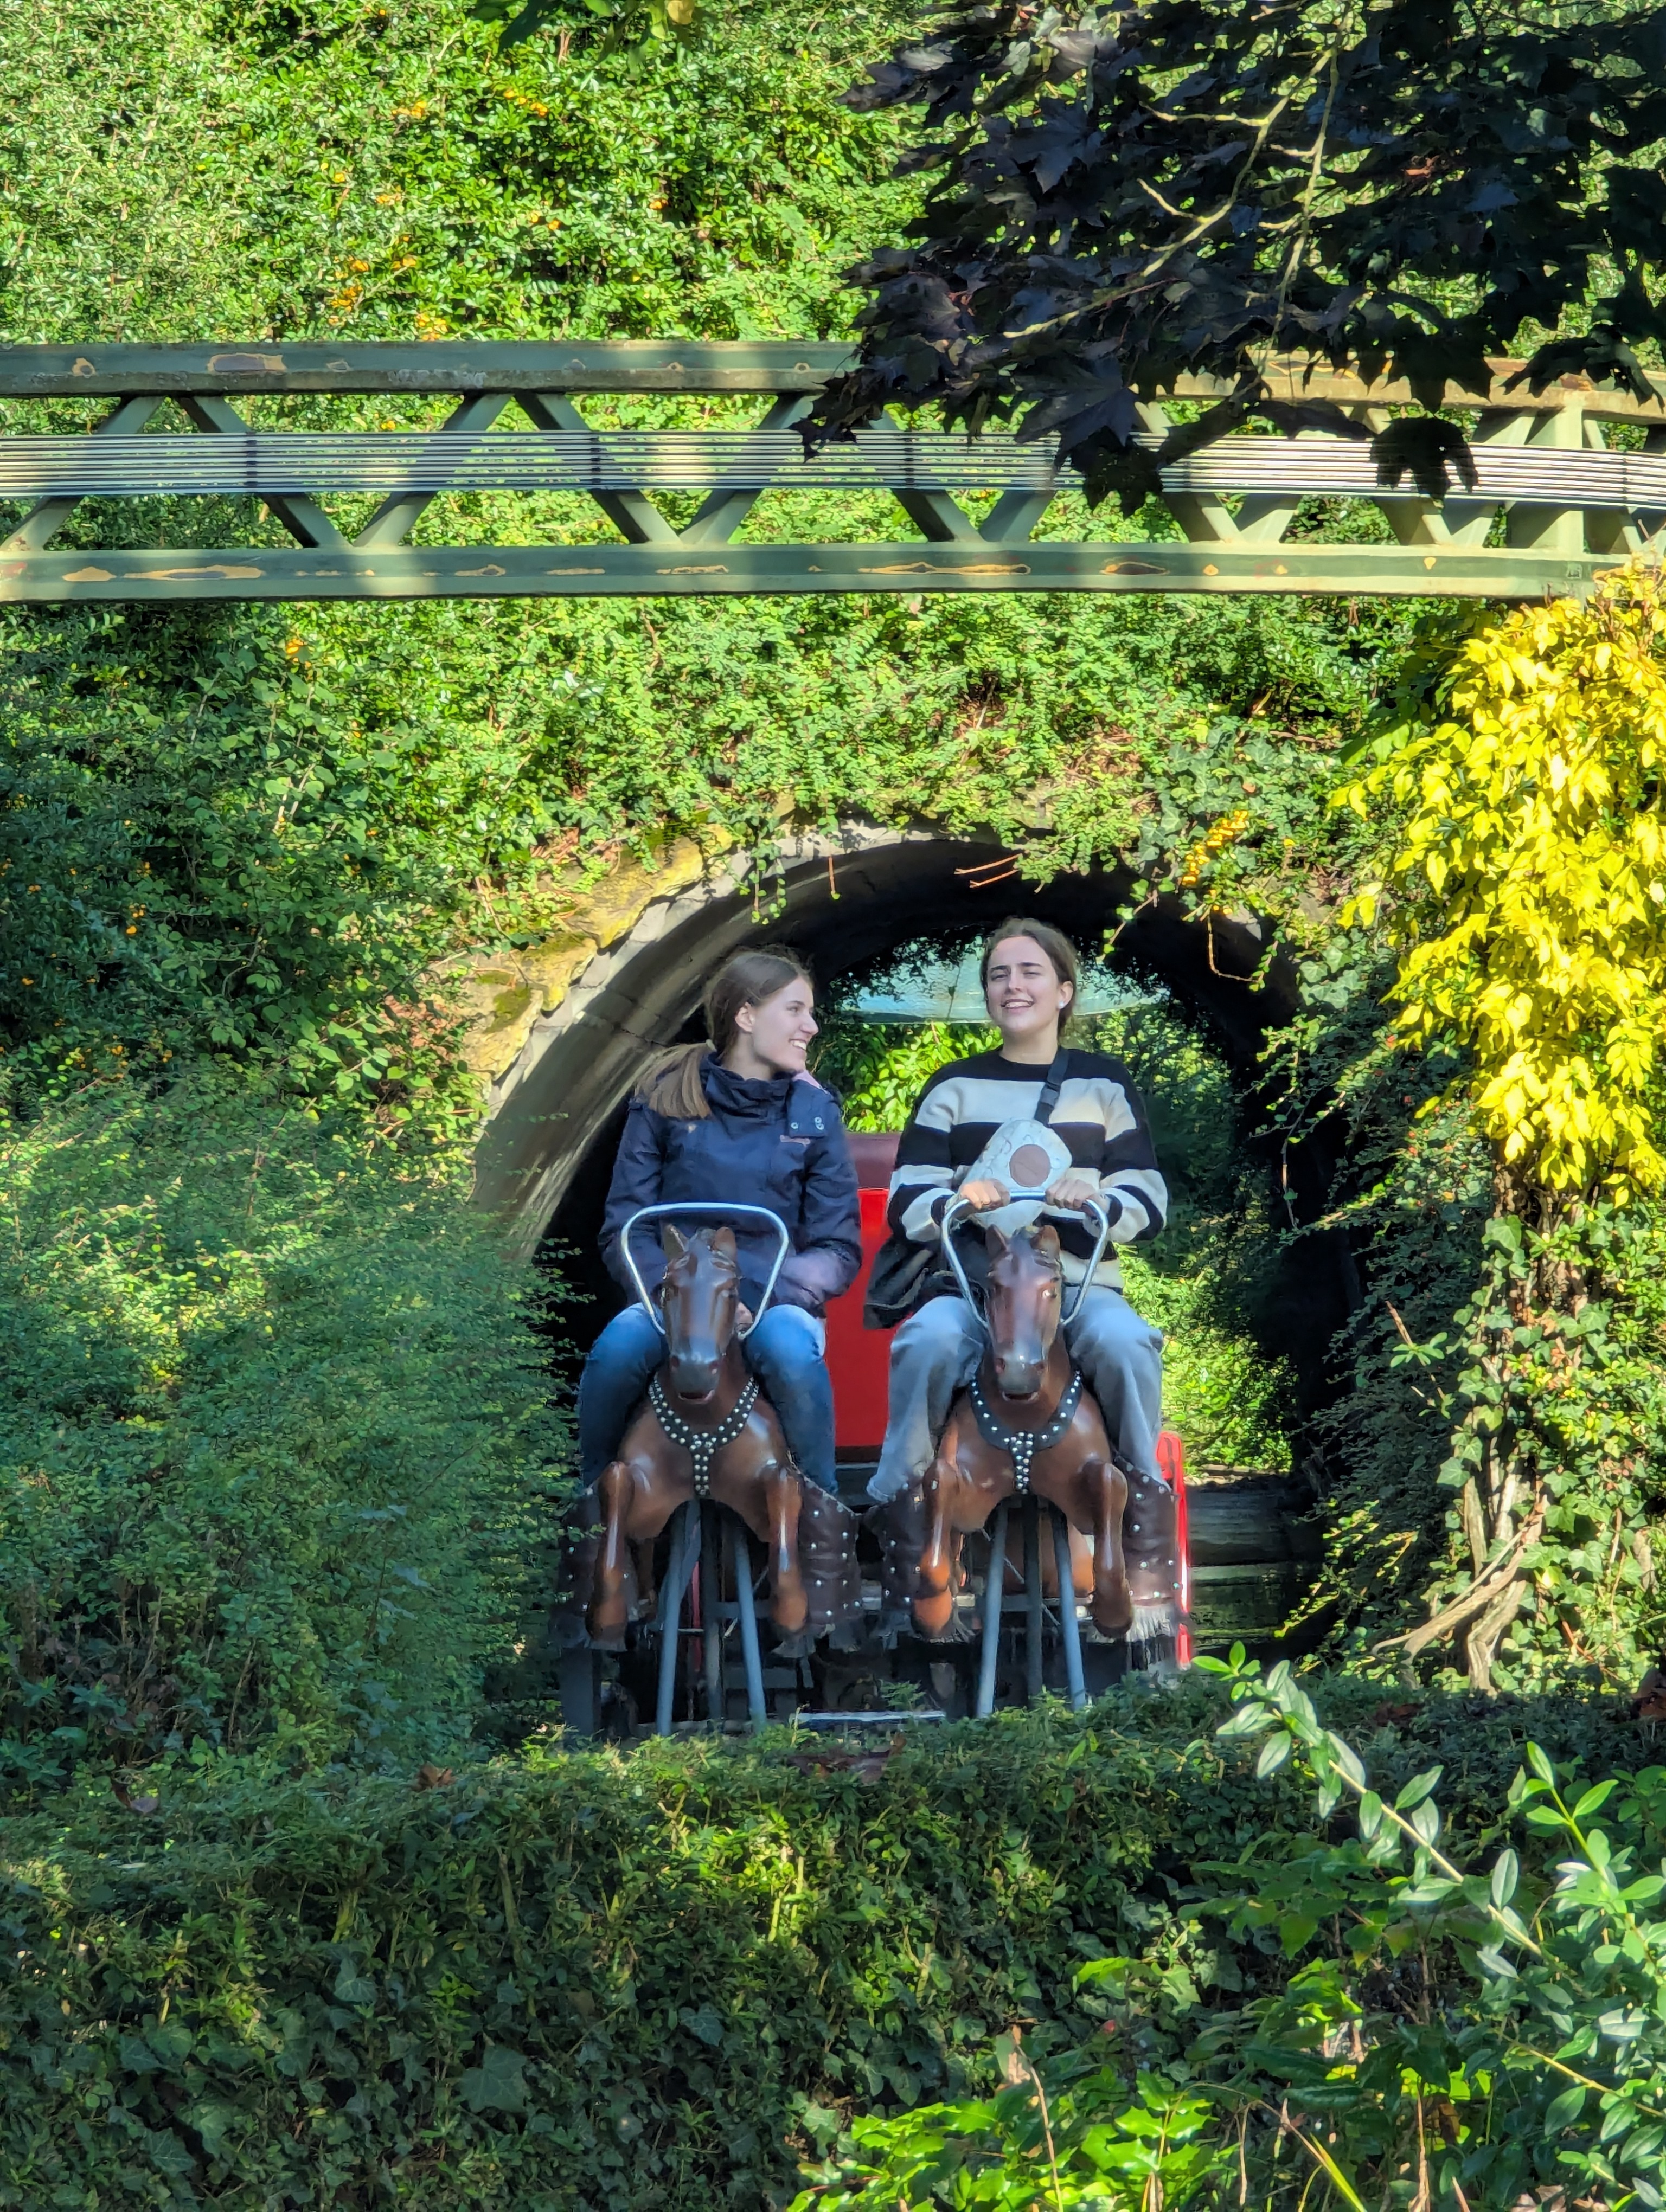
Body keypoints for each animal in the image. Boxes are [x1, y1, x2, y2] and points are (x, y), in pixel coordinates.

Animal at [577, 1222, 859, 1653]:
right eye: (667, 1287)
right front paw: (608, 1618)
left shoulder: (767, 1480)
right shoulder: (647, 1488)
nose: (695, 1369)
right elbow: (616, 1482)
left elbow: (784, 1493)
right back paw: (640, 1603)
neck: (703, 1425)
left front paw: (793, 1619)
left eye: (730, 1289)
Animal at [882, 1218, 1181, 1652]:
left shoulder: (1086, 1482)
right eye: (992, 1285)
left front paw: (1114, 1615)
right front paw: (934, 1613)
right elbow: (937, 1487)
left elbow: (1112, 1487)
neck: (1025, 1417)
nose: (1019, 1371)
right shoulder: (970, 1486)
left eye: (1053, 1285)